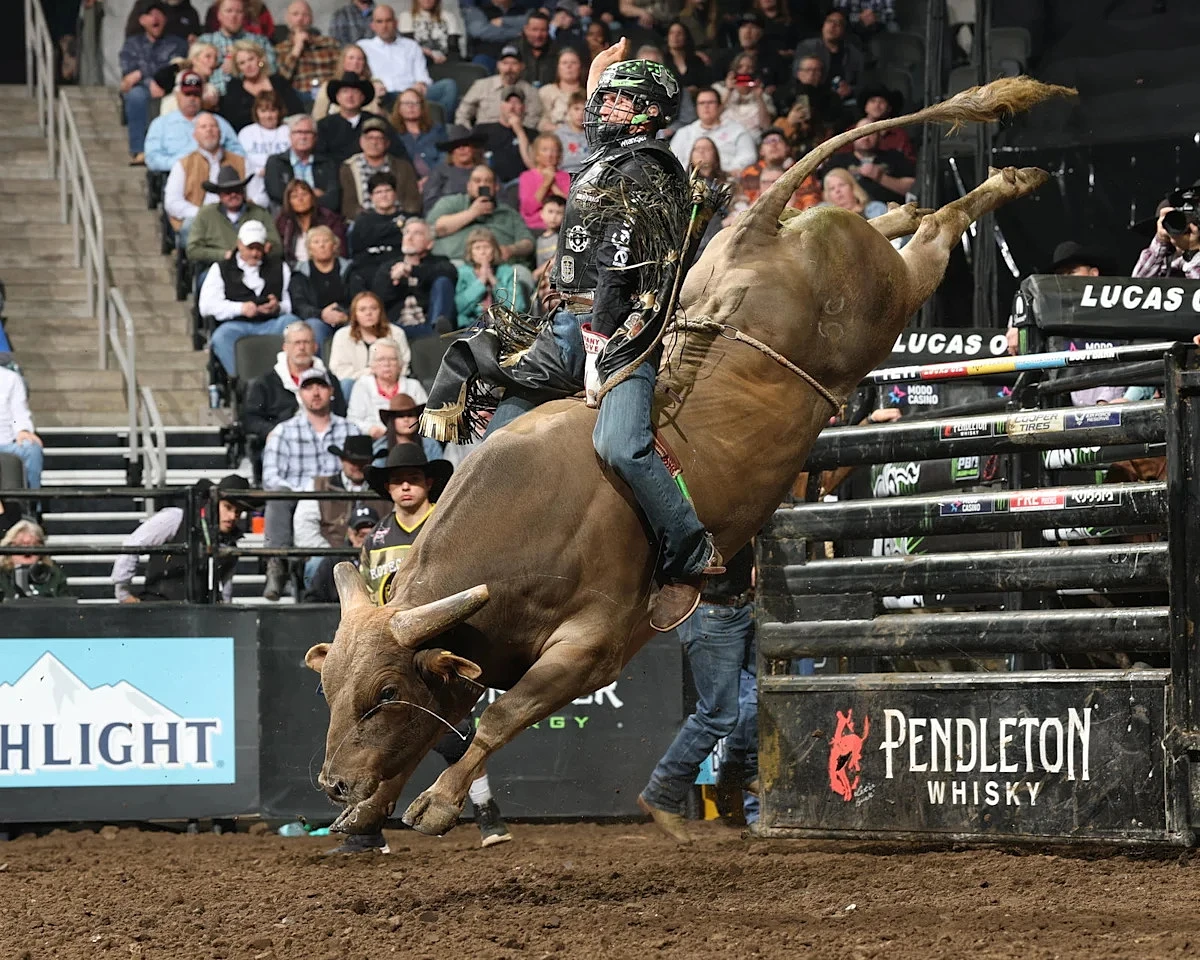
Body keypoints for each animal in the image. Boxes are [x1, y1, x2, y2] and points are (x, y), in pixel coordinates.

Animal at [305, 75, 1074, 840]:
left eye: (386, 691)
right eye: (329, 689)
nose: (332, 784)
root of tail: (759, 231)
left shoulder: (593, 647)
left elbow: (499, 715)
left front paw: (436, 803)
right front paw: (373, 808)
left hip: (888, 300)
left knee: (939, 236)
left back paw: (1013, 179)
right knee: (903, 224)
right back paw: (919, 203)